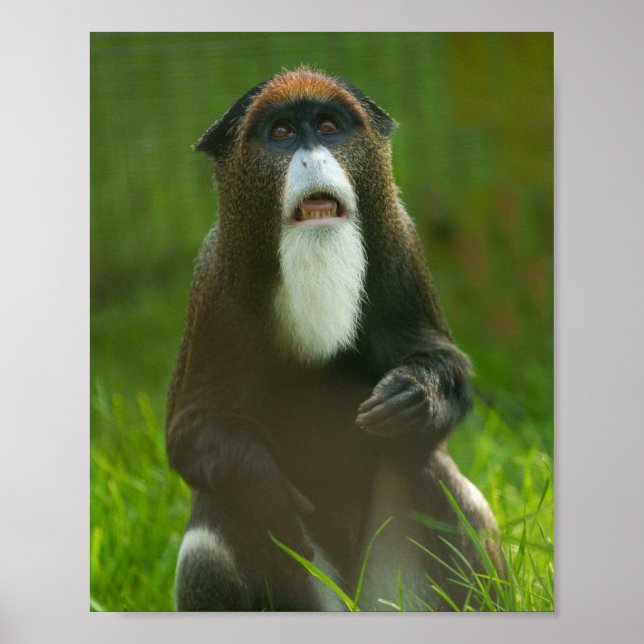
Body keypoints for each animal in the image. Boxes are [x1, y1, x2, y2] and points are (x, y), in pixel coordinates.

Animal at [166, 67, 504, 611]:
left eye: (327, 127)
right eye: (282, 132)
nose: (313, 157)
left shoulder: (400, 245)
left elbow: (442, 361)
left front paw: (418, 394)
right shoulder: (215, 284)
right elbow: (190, 428)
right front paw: (265, 487)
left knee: (434, 468)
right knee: (214, 521)